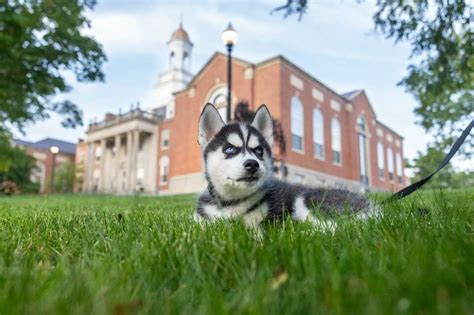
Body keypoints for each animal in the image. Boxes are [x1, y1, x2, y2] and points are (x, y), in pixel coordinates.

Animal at [194, 103, 380, 232]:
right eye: (229, 149)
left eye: (259, 151)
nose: (252, 164)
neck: (231, 202)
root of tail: (368, 205)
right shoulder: (201, 220)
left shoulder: (264, 222)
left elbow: (255, 232)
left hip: (306, 200)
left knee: (334, 228)